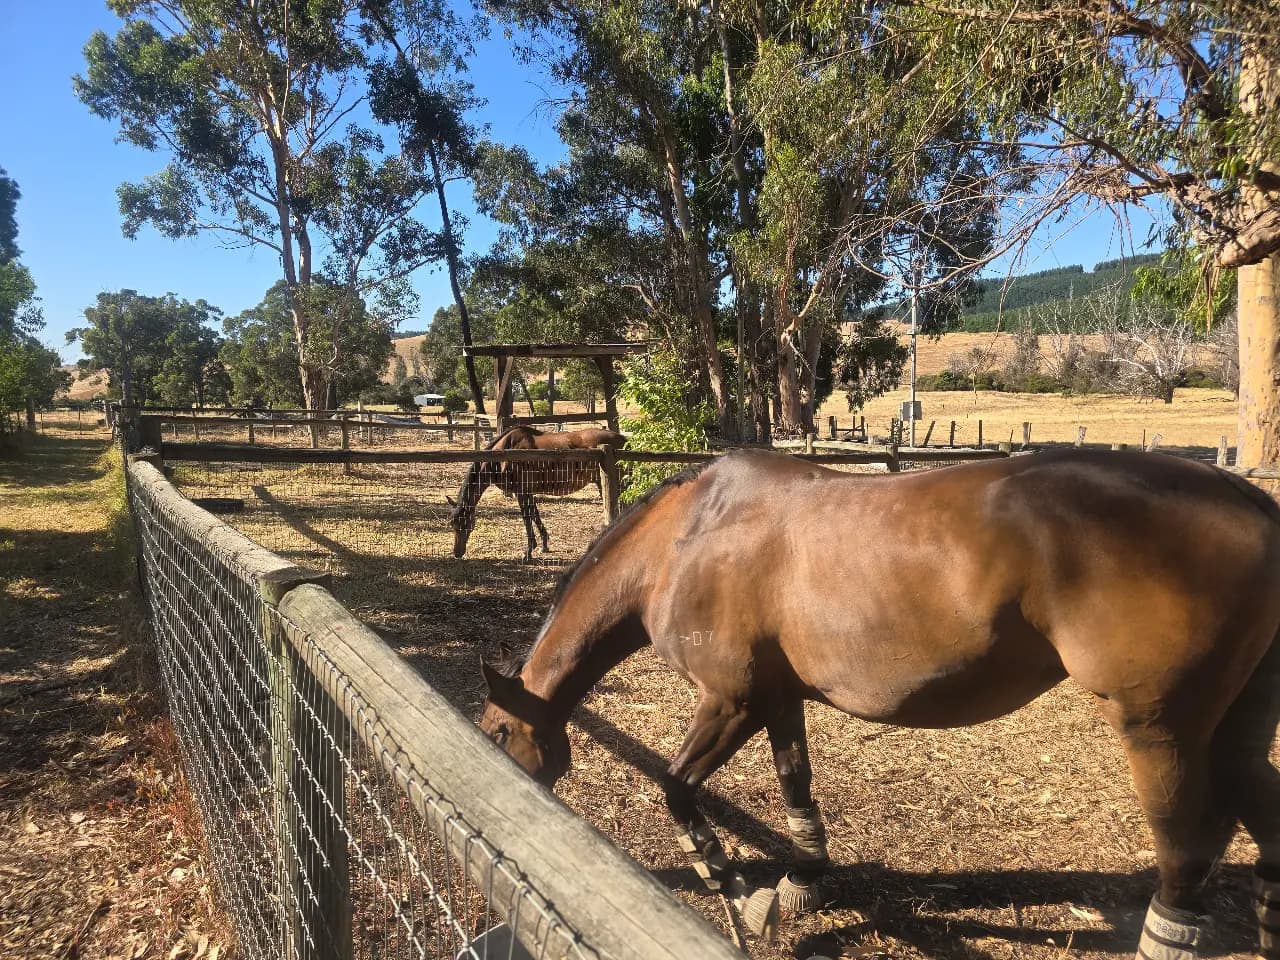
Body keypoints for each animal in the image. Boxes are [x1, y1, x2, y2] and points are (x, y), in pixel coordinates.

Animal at [447, 425, 626, 562]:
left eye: (466, 525)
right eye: (452, 524)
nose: (457, 553)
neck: (502, 455)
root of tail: (622, 439)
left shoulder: (521, 492)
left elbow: (527, 518)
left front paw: (528, 552)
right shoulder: (528, 492)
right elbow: (535, 515)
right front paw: (544, 545)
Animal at [479, 448, 1280, 957]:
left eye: (496, 731)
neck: (685, 541)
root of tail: (1248, 498)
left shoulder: (730, 702)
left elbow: (675, 789)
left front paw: (731, 887)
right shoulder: (779, 699)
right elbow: (796, 786)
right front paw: (796, 887)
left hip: (1160, 731)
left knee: (1186, 856)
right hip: (1235, 731)